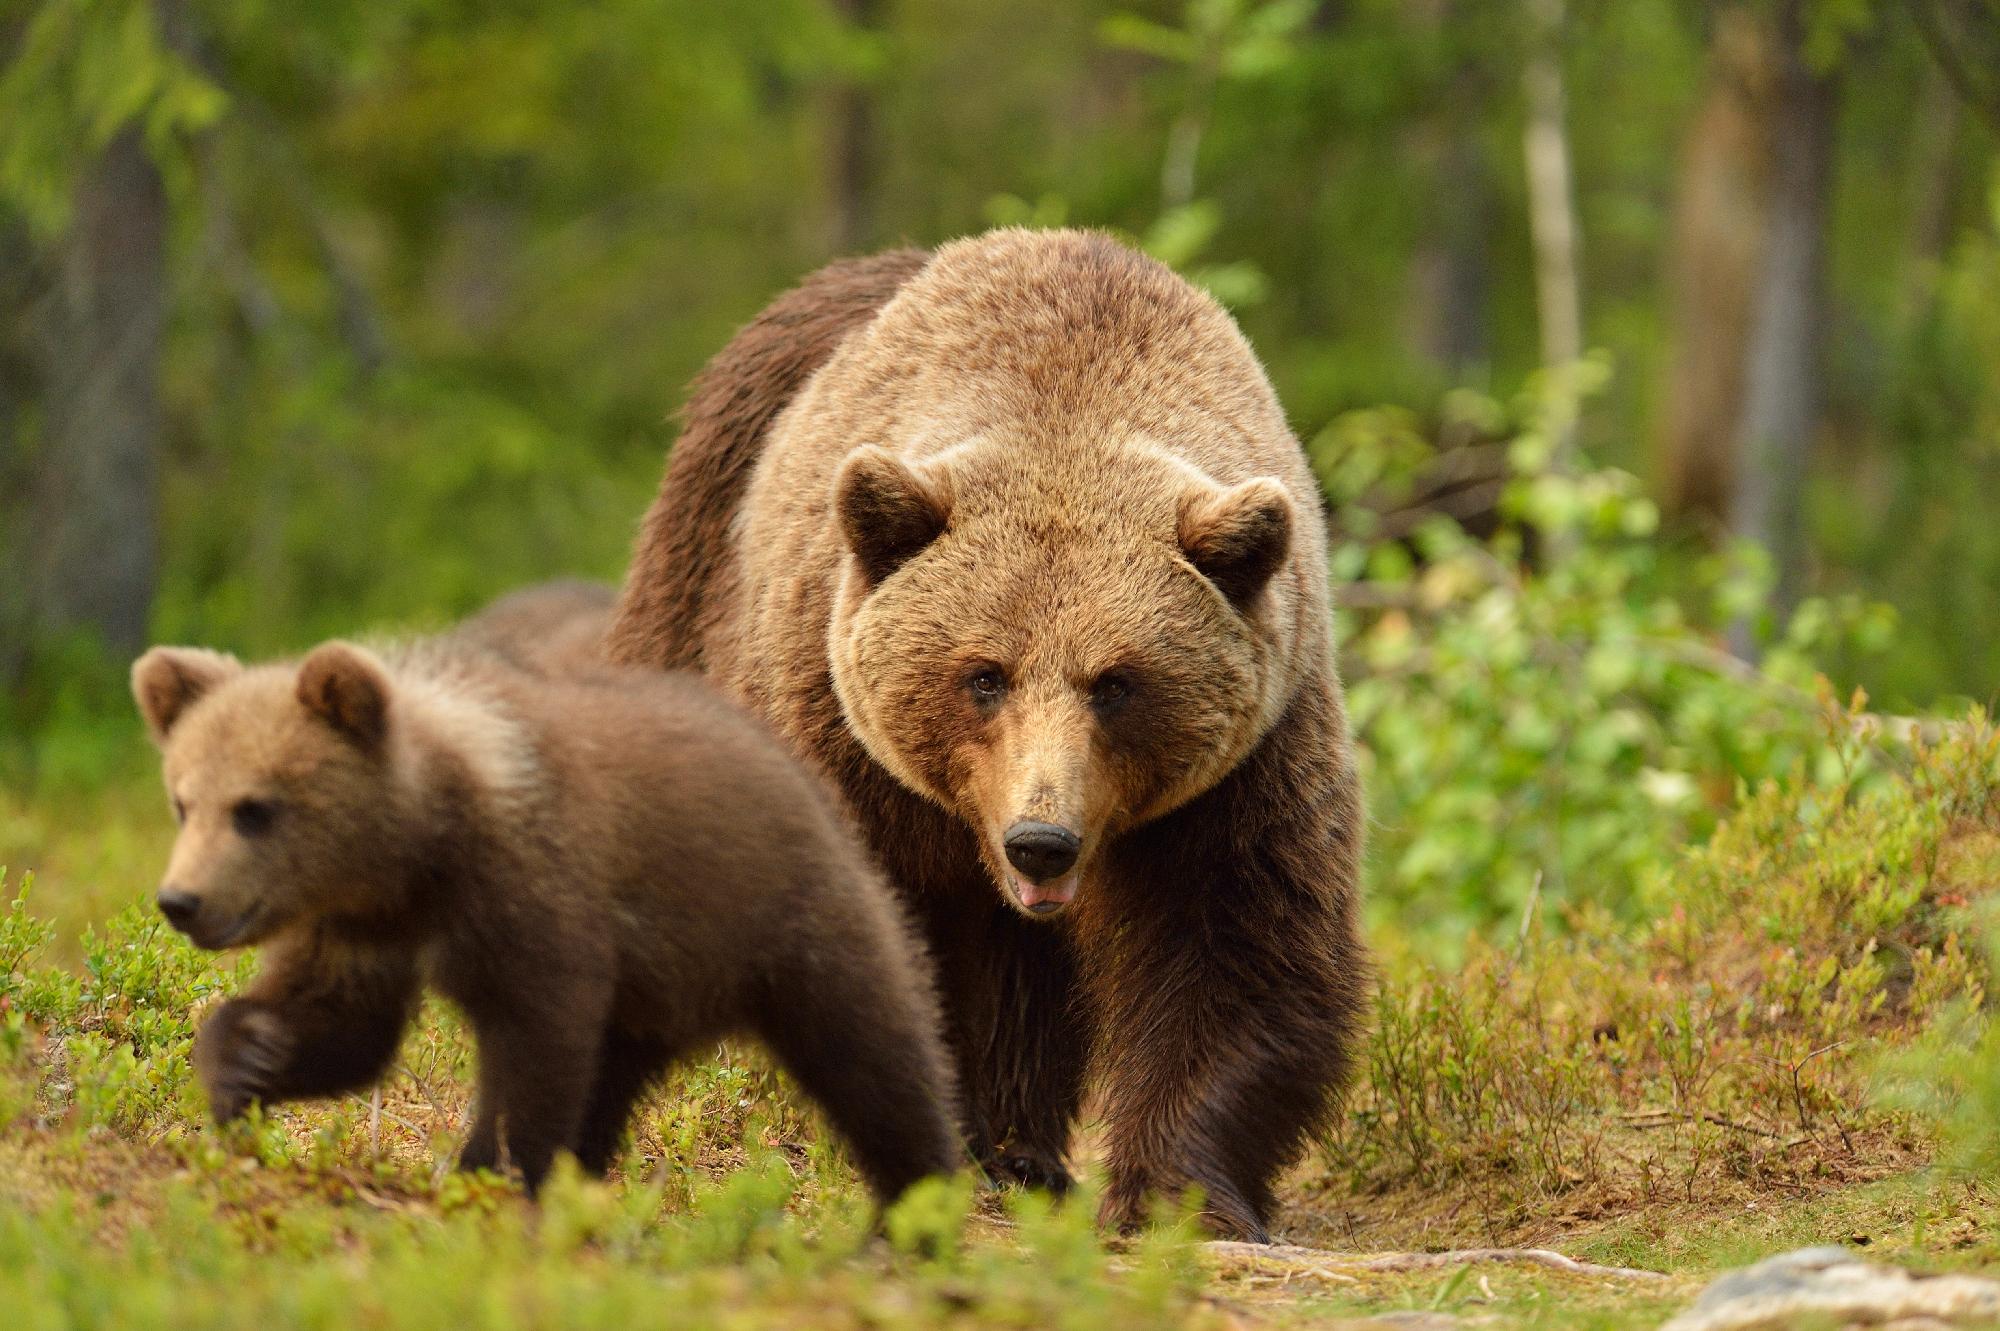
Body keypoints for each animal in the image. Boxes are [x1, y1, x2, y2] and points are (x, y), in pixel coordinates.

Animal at [600, 225, 1368, 1231]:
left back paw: (1022, 1150)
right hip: (697, 569)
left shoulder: (1244, 771)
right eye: (984, 675)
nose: (1040, 839)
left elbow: (1241, 949)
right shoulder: (844, 746)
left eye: (1117, 682)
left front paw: (1174, 1191)